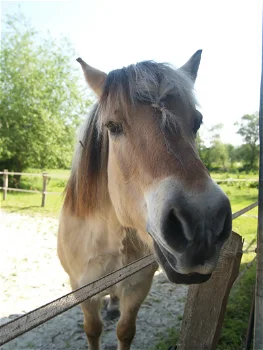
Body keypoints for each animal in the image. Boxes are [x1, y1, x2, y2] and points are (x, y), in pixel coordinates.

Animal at [57, 51, 233, 350]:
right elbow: (92, 330)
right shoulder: (82, 291)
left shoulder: (138, 287)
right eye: (112, 126)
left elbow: (125, 330)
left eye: (197, 121)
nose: (203, 224)